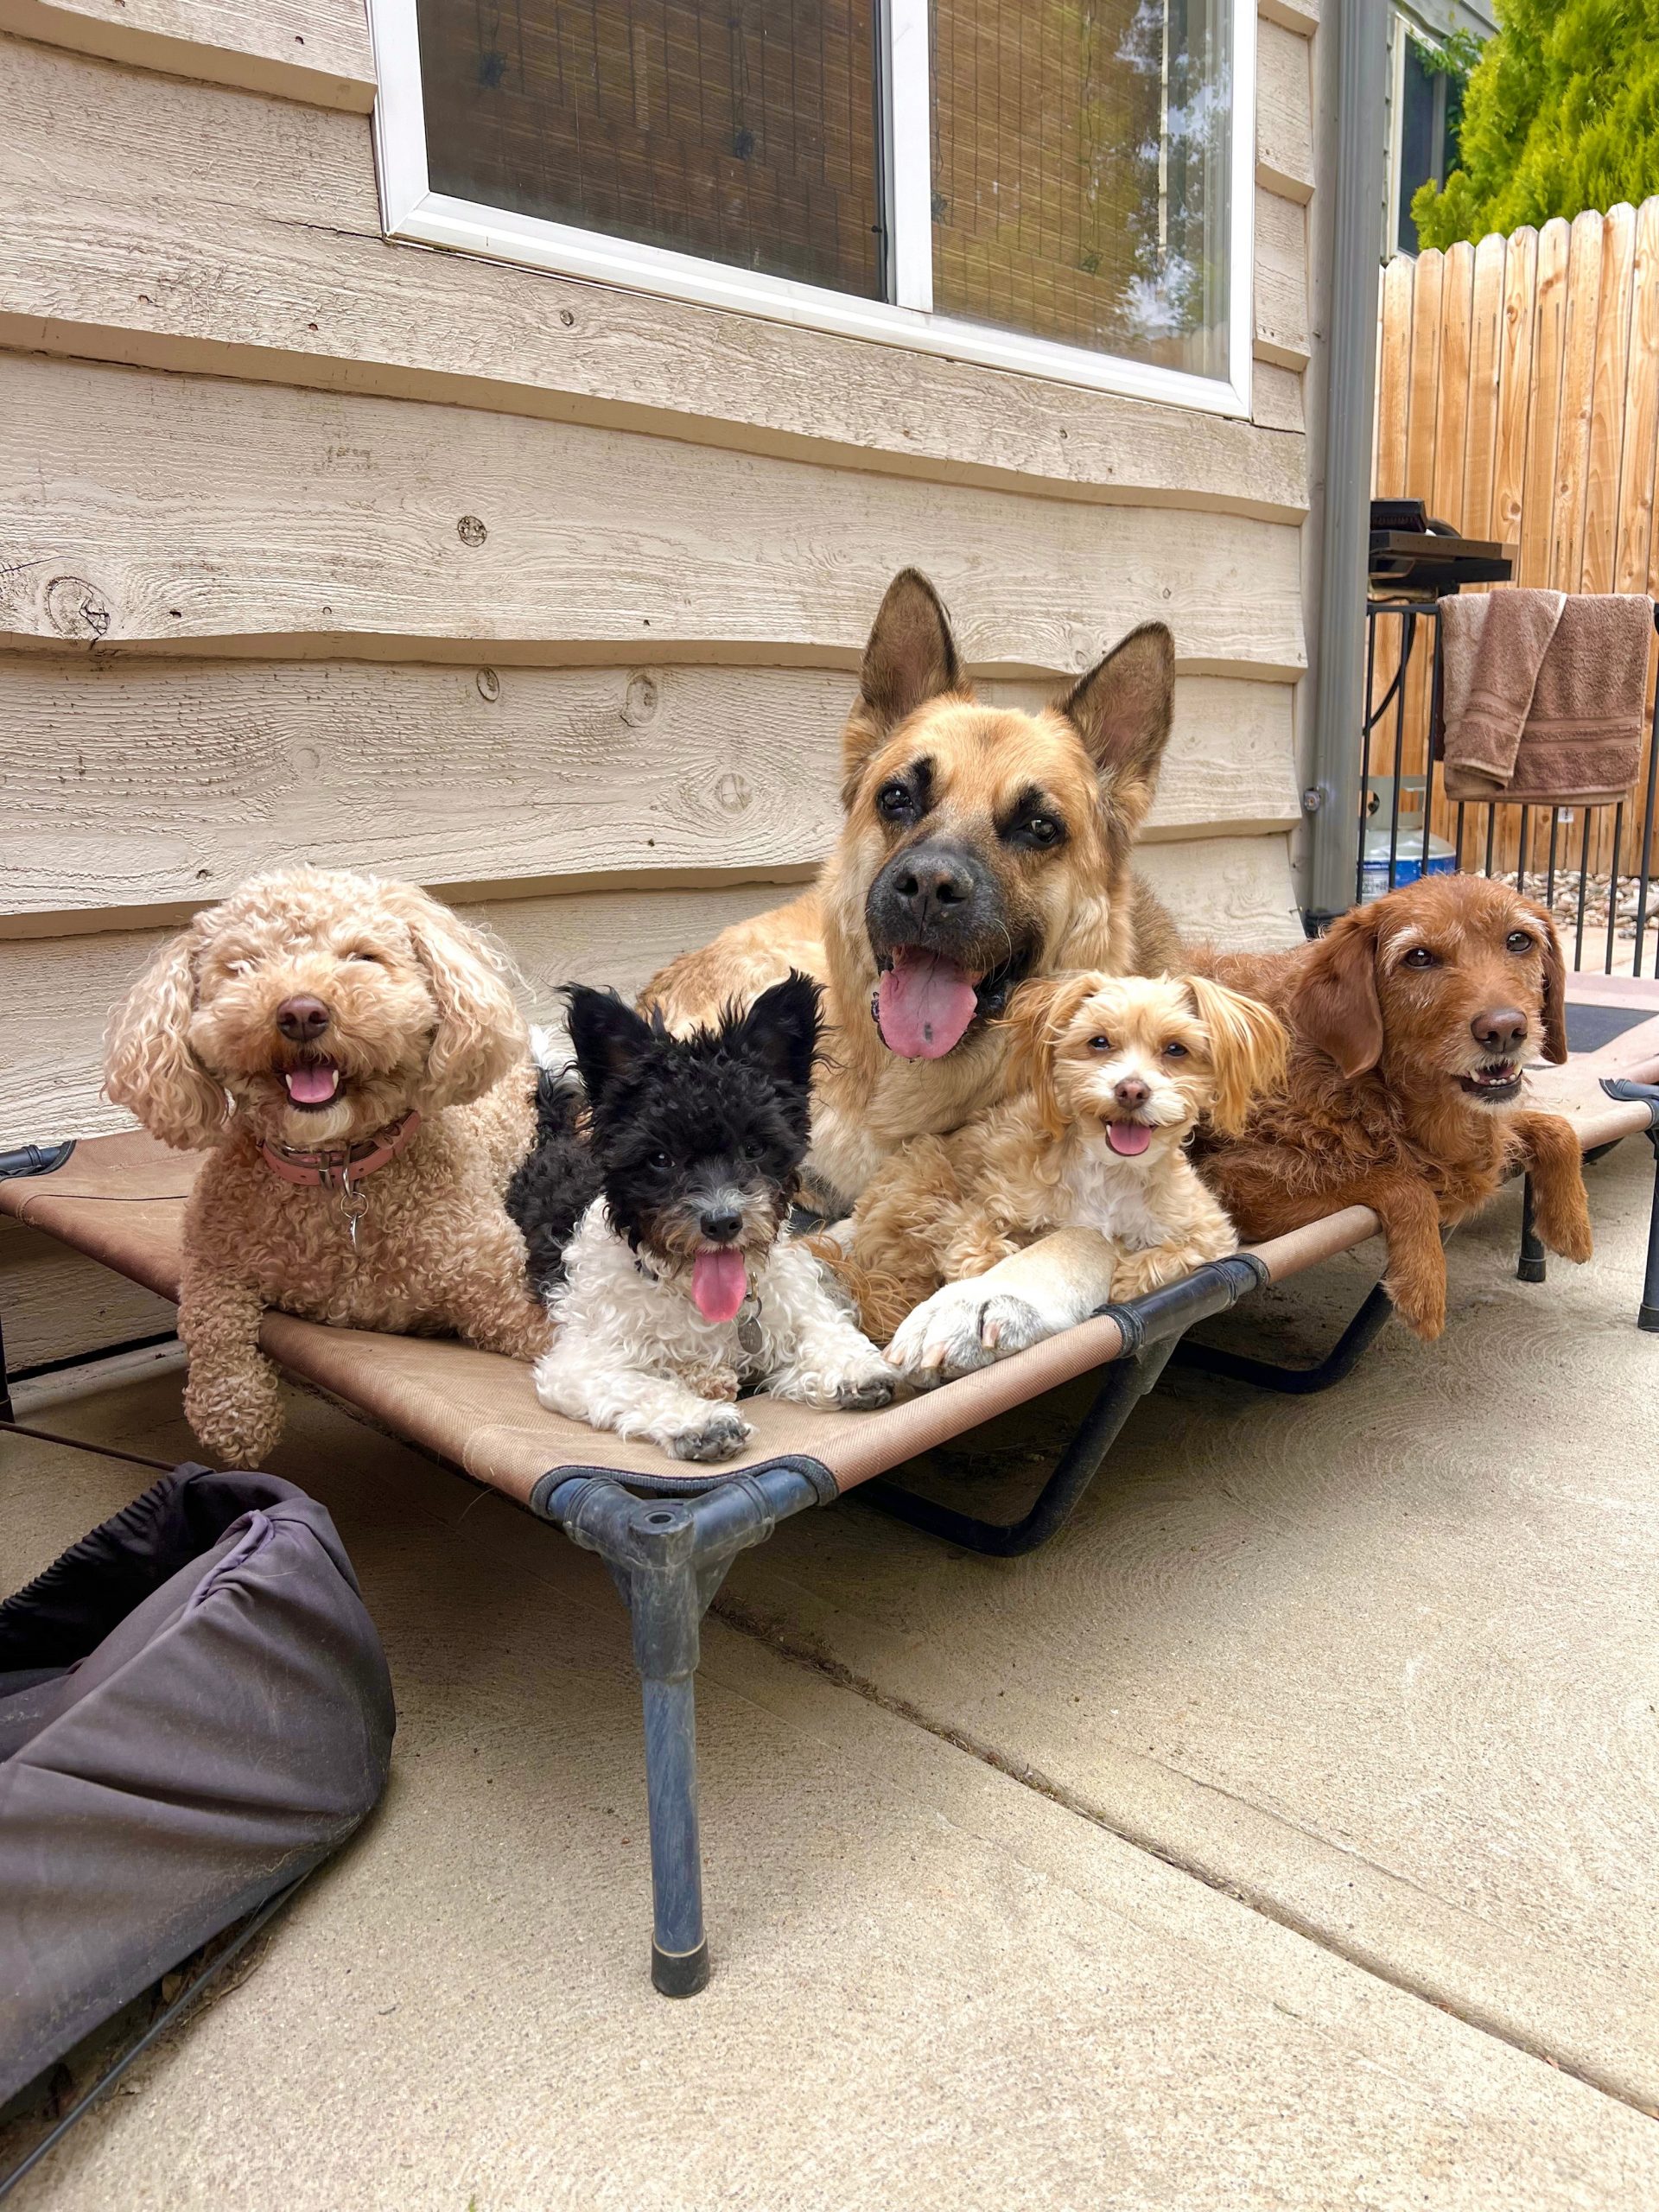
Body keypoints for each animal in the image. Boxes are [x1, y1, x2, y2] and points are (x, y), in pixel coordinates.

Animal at [103, 868, 550, 1465]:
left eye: (362, 957)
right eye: (243, 966)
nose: (300, 1013)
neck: (336, 1173)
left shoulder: (500, 1293)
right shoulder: (210, 1256)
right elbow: (207, 1320)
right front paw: (237, 1417)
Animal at [516, 976, 897, 1463]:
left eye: (754, 1148)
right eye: (661, 1159)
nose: (722, 1223)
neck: (689, 1290)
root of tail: (555, 1137)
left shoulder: (795, 1297)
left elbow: (824, 1328)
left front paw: (852, 1369)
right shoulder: (579, 1364)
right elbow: (642, 1387)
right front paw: (700, 1422)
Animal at [832, 972, 1286, 1372]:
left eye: (1176, 1049)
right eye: (1099, 1041)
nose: (1131, 1090)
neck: (1111, 1175)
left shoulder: (1209, 1231)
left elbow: (1168, 1258)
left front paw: (1125, 1278)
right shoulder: (979, 1206)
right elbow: (977, 1249)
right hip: (922, 1177)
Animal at [1191, 874, 1593, 1340]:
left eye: (1518, 940)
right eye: (1418, 957)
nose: (1505, 1030)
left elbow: (1559, 1128)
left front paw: (1570, 1224)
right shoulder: (1234, 1181)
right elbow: (1402, 1182)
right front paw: (1424, 1285)